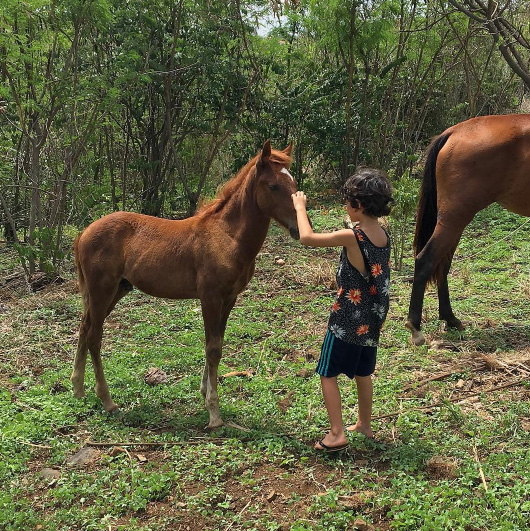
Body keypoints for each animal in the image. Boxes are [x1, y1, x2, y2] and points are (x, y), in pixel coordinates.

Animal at [72, 140, 300, 428]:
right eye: (273, 186)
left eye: (293, 182)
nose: (298, 227)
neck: (226, 236)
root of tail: (83, 233)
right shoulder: (210, 297)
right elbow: (213, 349)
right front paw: (214, 413)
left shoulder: (229, 298)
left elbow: (216, 344)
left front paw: (204, 392)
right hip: (102, 290)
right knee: (94, 335)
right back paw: (107, 400)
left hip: (115, 290)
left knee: (84, 327)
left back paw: (78, 389)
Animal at [404, 114, 528, 348]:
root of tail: (453, 132)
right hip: (454, 219)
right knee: (426, 260)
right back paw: (416, 327)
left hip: (454, 222)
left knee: (442, 265)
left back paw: (450, 319)